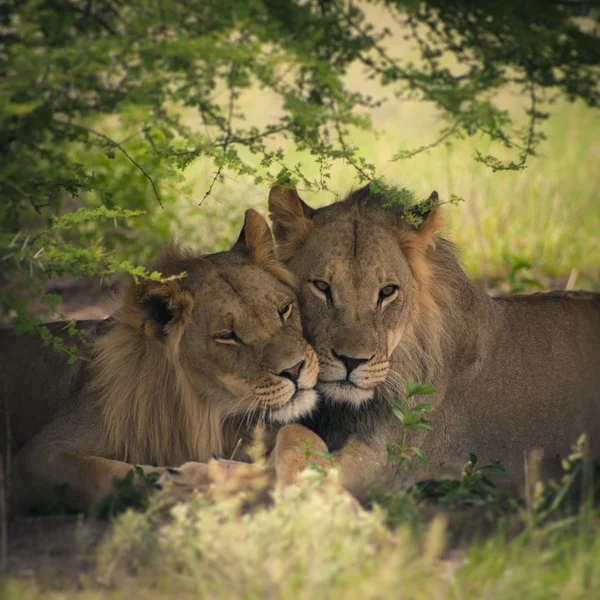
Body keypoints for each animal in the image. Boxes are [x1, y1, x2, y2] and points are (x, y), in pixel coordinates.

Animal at [1, 209, 332, 512]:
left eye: (284, 310)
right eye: (228, 336)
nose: (294, 369)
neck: (208, 413)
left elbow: (299, 435)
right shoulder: (39, 453)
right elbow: (99, 473)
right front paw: (178, 483)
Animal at [270, 185, 600, 500]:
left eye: (387, 291)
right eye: (321, 286)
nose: (352, 361)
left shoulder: (382, 462)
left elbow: (299, 442)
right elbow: (291, 432)